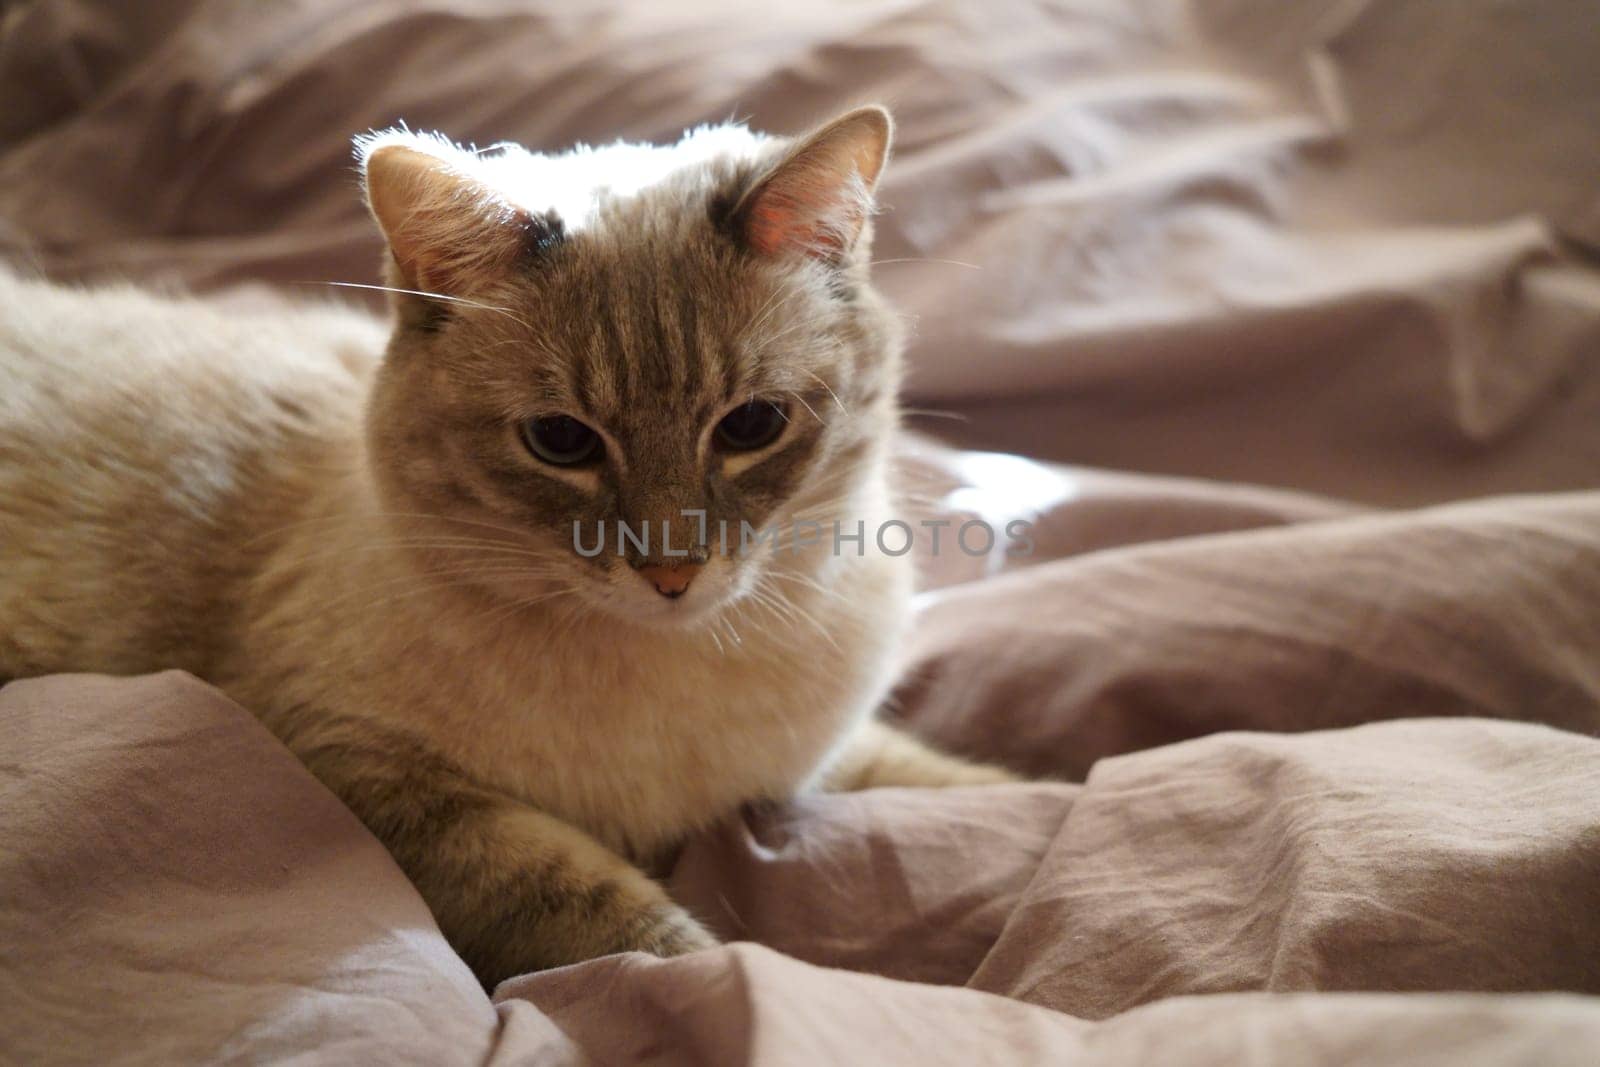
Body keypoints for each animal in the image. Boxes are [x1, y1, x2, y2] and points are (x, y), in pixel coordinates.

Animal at [0, 103, 1011, 991]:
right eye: (561, 442)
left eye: (751, 426)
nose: (672, 573)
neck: (675, 675)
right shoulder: (374, 777)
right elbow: (643, 933)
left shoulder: (810, 763)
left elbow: (948, 781)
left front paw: (1026, 808)